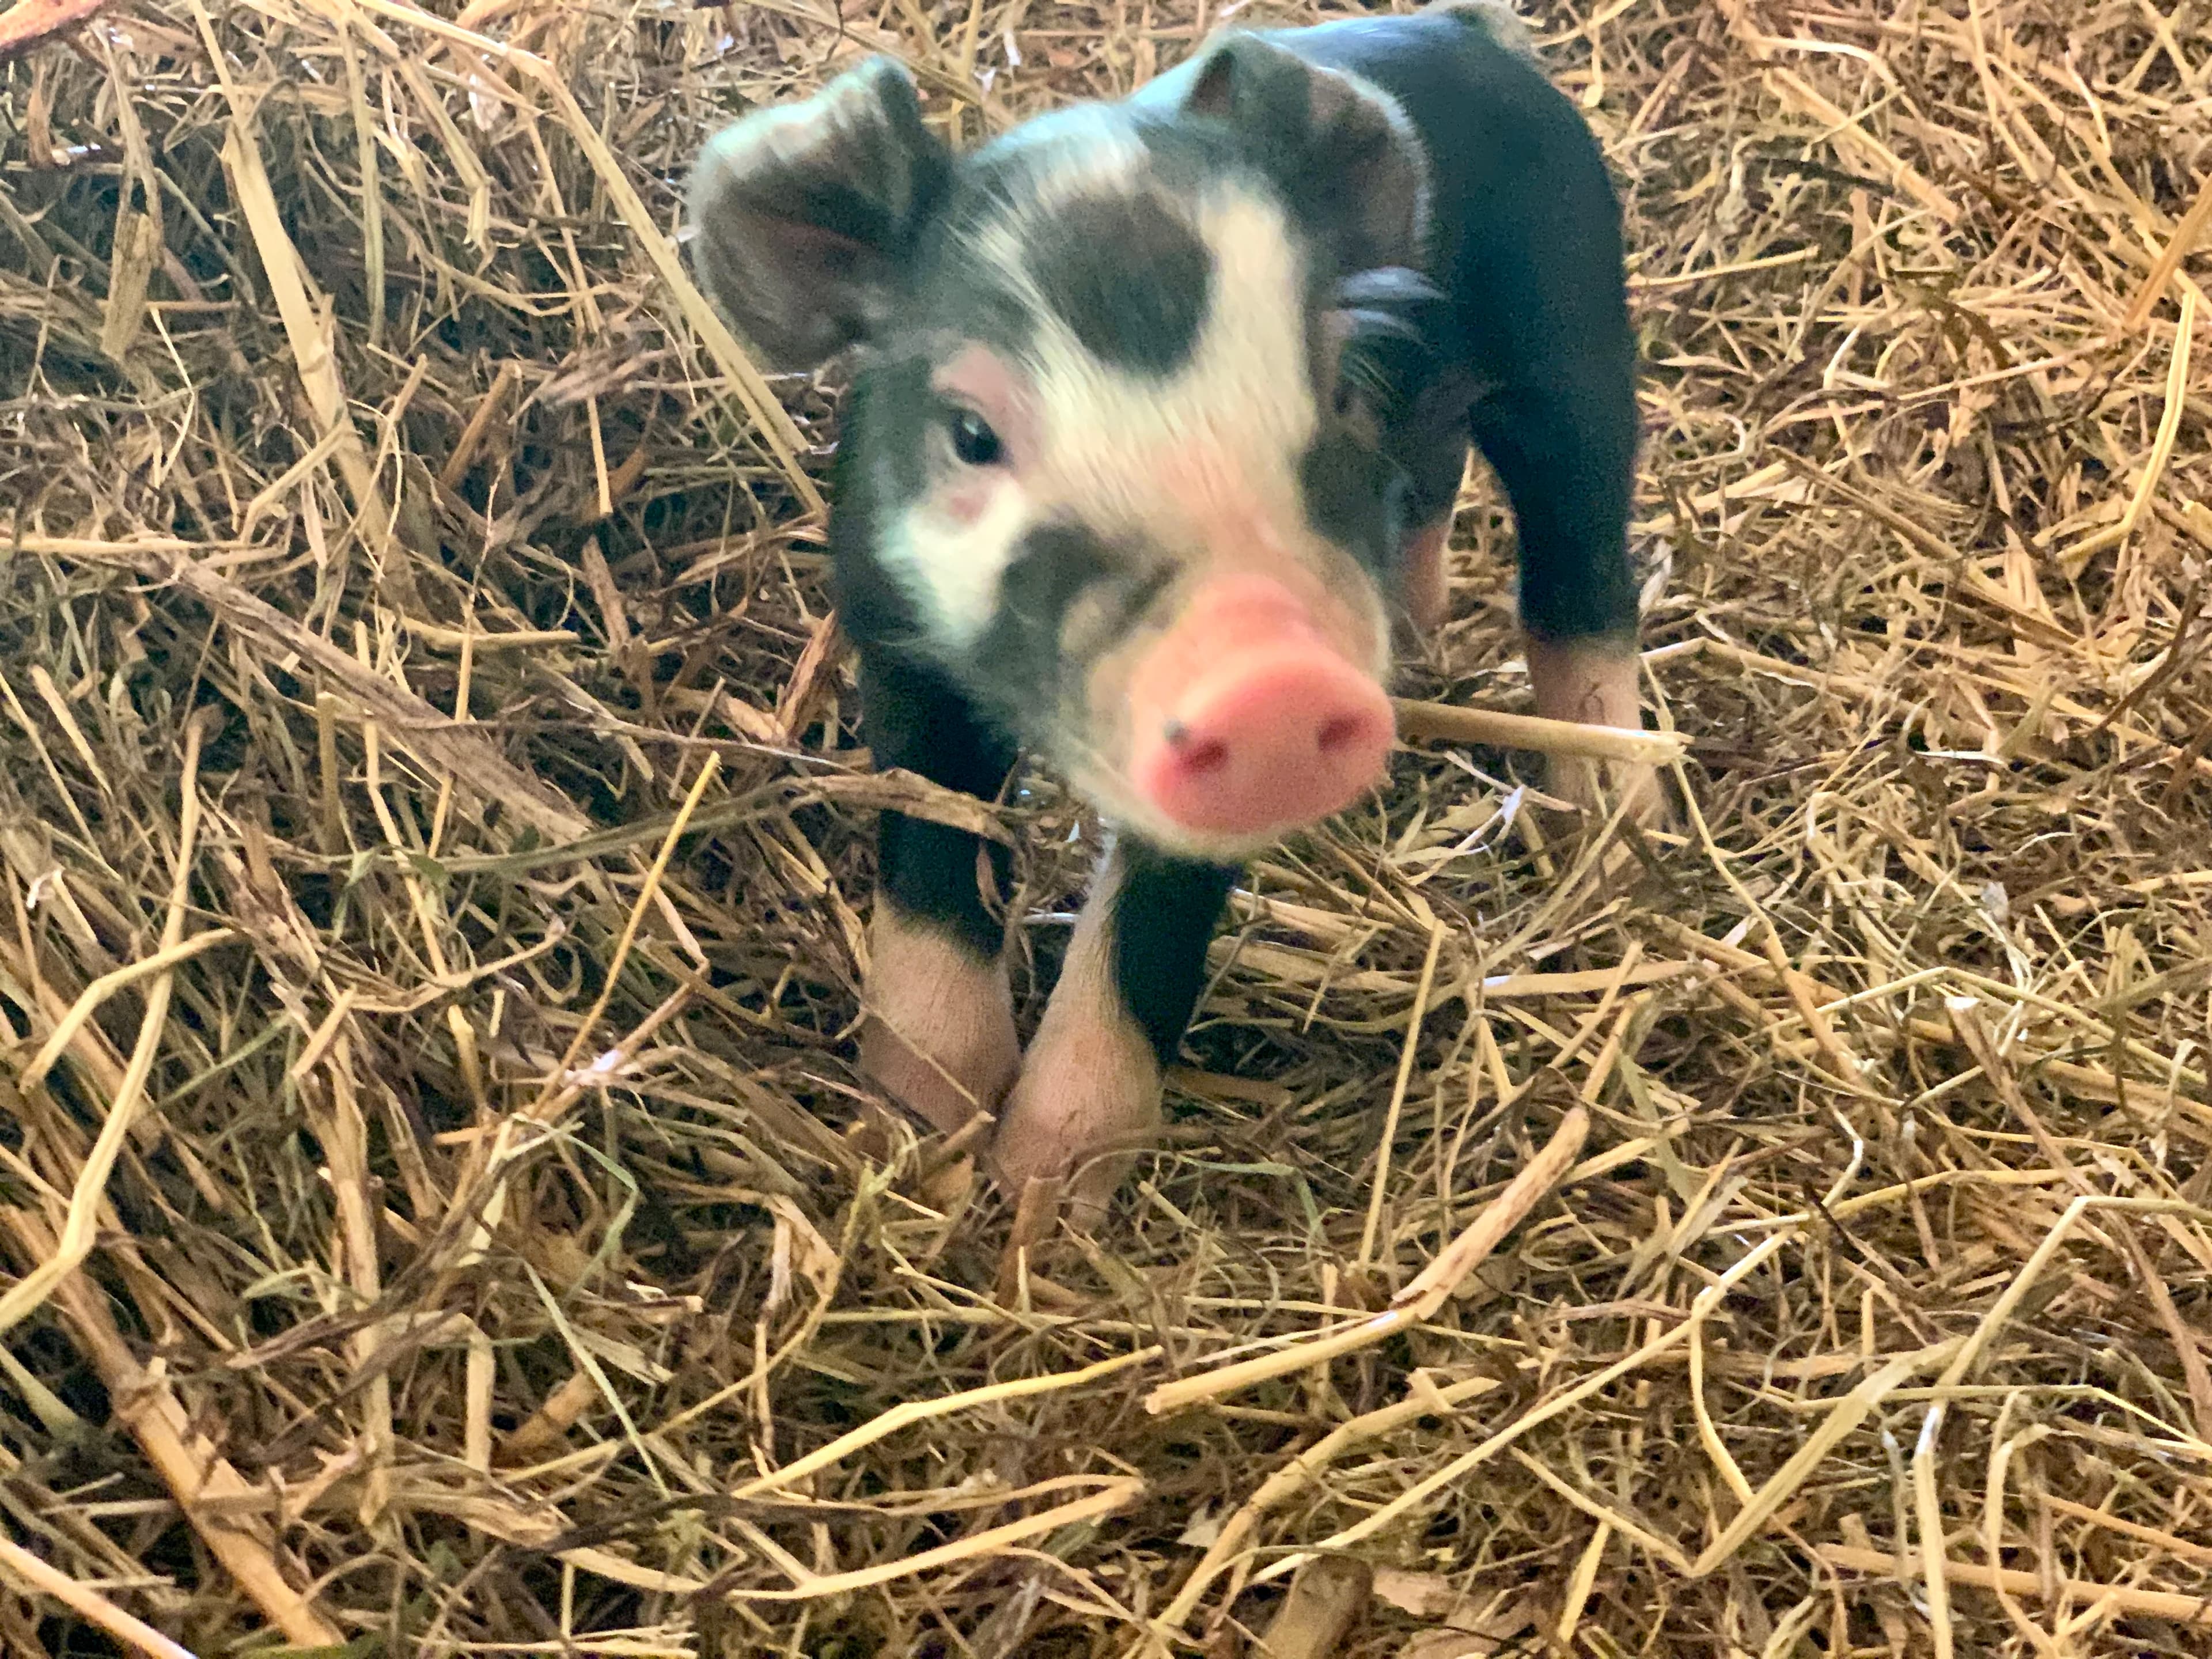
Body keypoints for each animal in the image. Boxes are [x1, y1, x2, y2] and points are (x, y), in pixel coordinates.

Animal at [686, 1, 1652, 1217]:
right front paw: (917, 1142)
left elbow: (1148, 925)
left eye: (1335, 390)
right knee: (1436, 480)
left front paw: (1047, 1204)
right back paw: (1424, 646)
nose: (1272, 673)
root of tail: (1457, 28)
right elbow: (927, 862)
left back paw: (1615, 835)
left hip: (1579, 345)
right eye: (970, 434)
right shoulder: (893, 630)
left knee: (1584, 576)